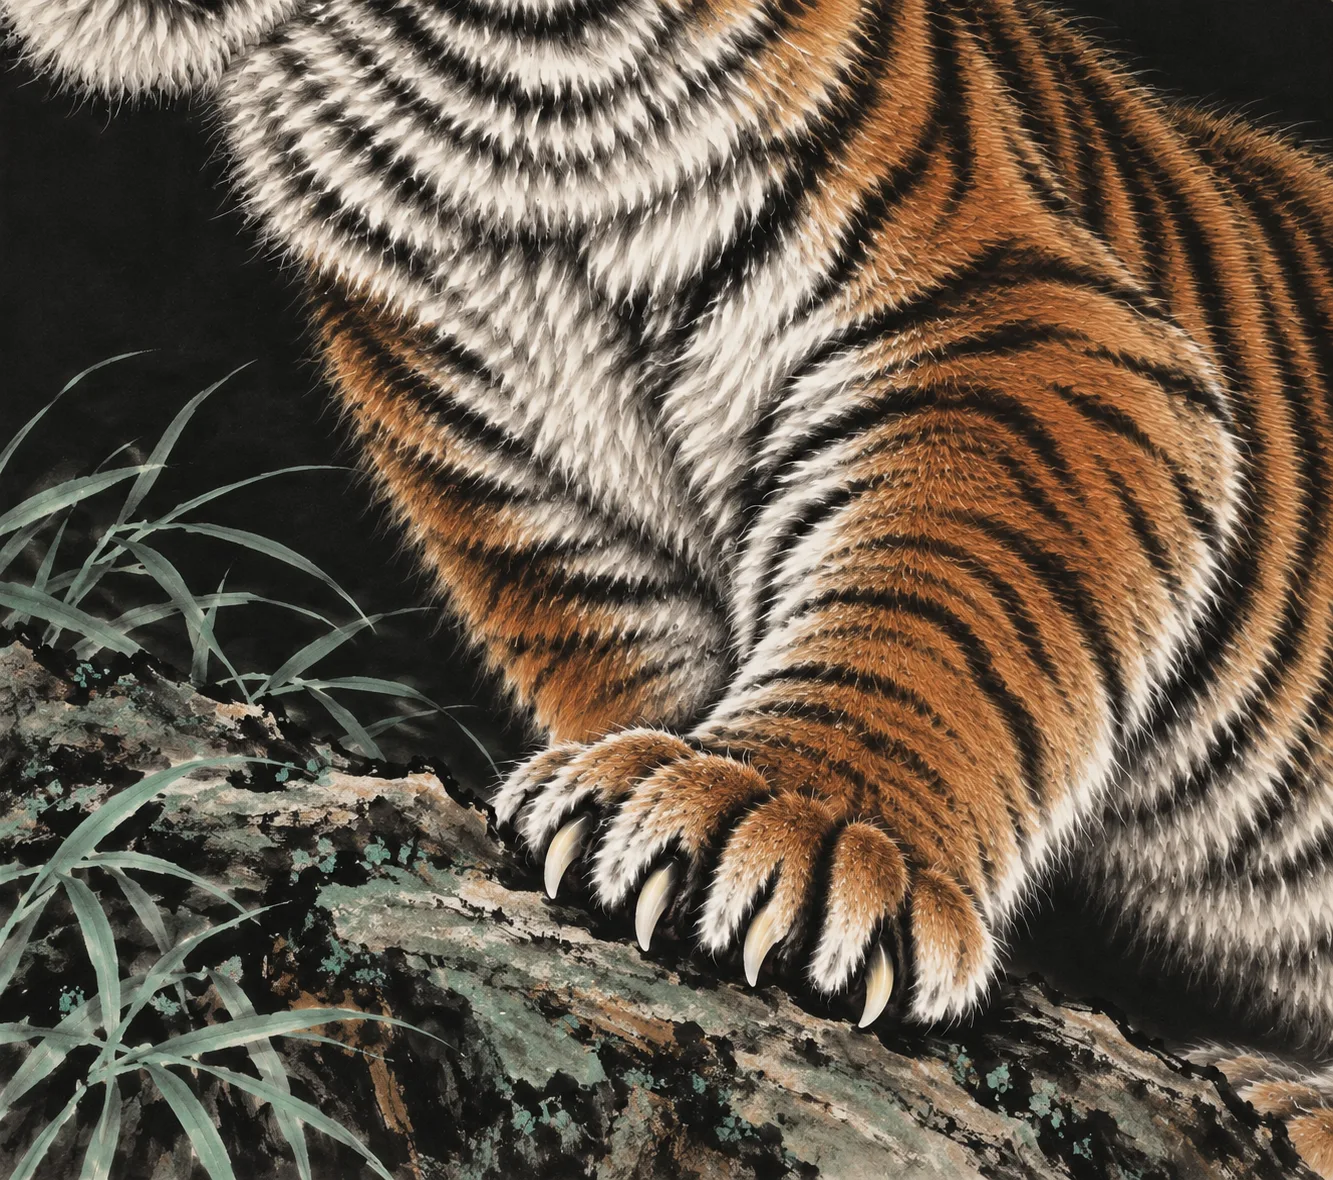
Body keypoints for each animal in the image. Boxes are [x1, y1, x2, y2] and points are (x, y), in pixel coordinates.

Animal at [7, 0, 1333, 1169]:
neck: (500, 140)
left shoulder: (1015, 341)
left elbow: (926, 608)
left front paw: (779, 820)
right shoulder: (513, 470)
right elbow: (629, 661)